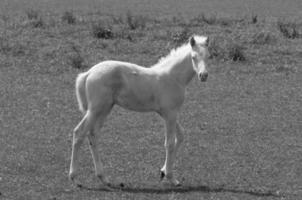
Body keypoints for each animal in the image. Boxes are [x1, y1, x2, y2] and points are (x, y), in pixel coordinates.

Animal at [68, 34, 210, 188]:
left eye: (208, 56)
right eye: (193, 57)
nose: (203, 75)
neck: (173, 77)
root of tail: (88, 73)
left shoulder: (167, 113)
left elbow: (181, 136)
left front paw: (162, 172)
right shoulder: (170, 113)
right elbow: (170, 143)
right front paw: (171, 178)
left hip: (104, 109)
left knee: (93, 135)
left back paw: (103, 178)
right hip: (95, 109)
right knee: (79, 132)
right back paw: (75, 178)